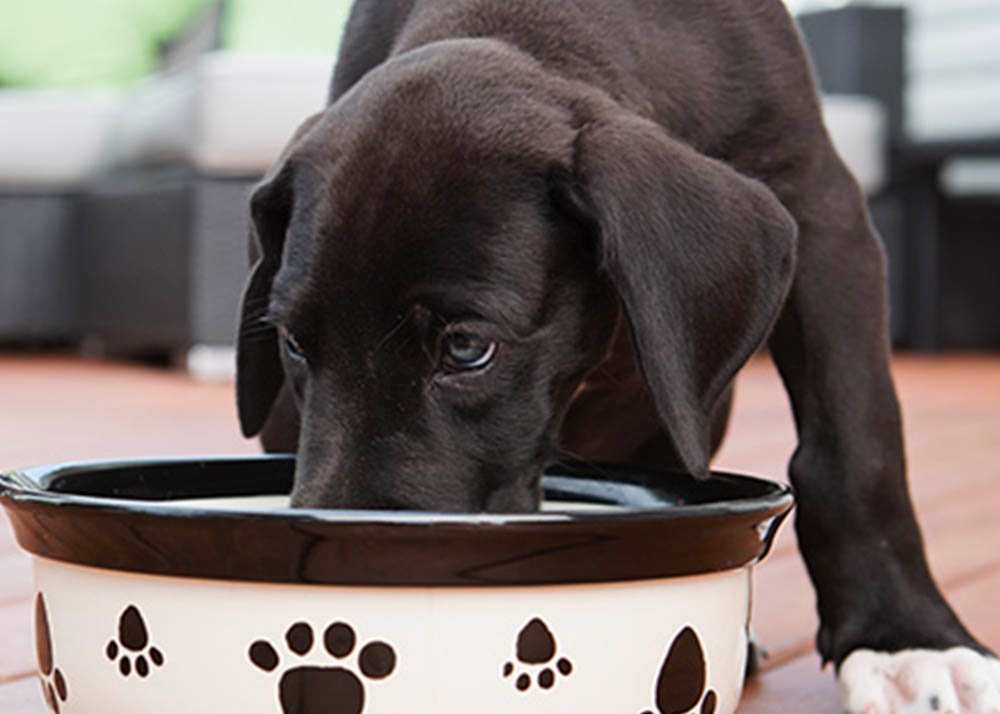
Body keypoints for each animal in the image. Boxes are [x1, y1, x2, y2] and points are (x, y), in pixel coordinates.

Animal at [236, 1, 1000, 708]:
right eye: (294, 342)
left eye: (466, 348)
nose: (338, 572)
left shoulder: (820, 206)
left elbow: (853, 442)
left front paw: (905, 641)